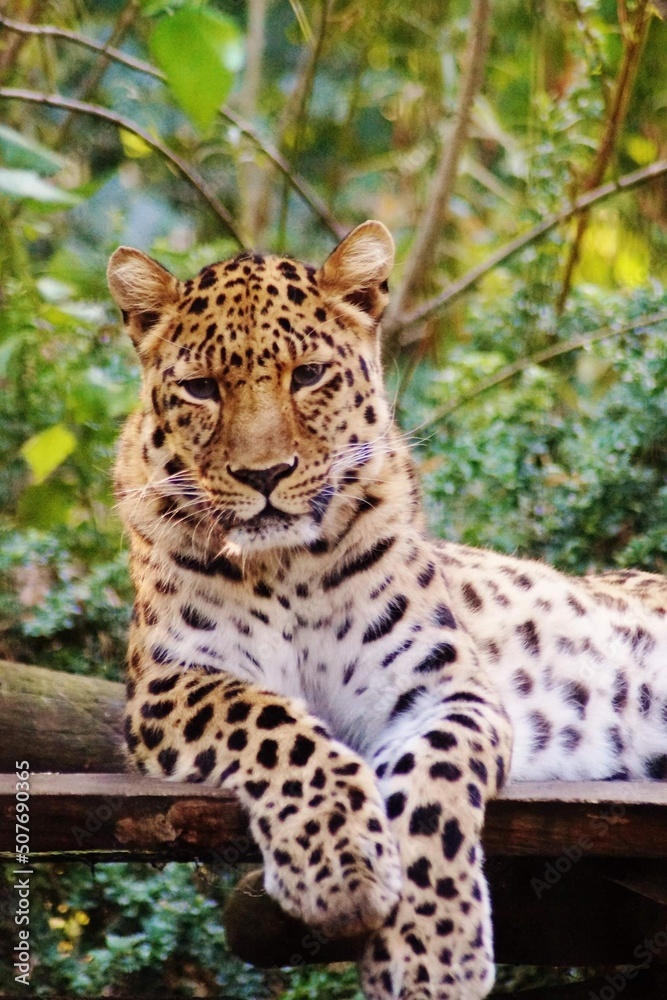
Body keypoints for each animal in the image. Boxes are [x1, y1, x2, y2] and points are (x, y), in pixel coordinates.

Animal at [108, 220, 667, 1000]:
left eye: (307, 375)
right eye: (200, 389)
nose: (264, 475)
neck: (284, 565)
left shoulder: (443, 685)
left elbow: (433, 784)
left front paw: (433, 952)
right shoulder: (168, 683)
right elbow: (275, 725)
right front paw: (341, 868)